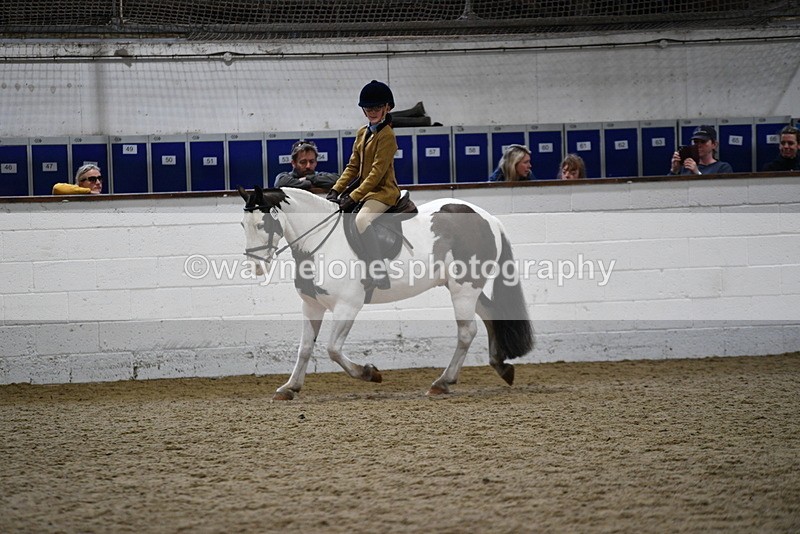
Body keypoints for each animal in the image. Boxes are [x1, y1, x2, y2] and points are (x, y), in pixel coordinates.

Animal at [238, 185, 533, 400]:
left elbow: (333, 349)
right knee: (490, 315)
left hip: (464, 287)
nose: (256, 266)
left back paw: (442, 382)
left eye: (263, 224)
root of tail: (489, 218)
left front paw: (370, 373)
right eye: (243, 225)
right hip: (463, 285)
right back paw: (501, 366)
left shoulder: (347, 305)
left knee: (466, 332)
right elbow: (305, 349)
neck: (320, 242)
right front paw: (289, 388)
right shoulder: (312, 305)